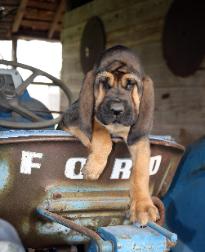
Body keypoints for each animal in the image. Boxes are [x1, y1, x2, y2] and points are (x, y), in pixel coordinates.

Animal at [60, 45, 159, 224]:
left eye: (130, 85)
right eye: (104, 83)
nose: (116, 110)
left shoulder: (138, 139)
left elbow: (141, 169)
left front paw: (143, 206)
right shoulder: (72, 120)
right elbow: (100, 128)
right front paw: (93, 167)